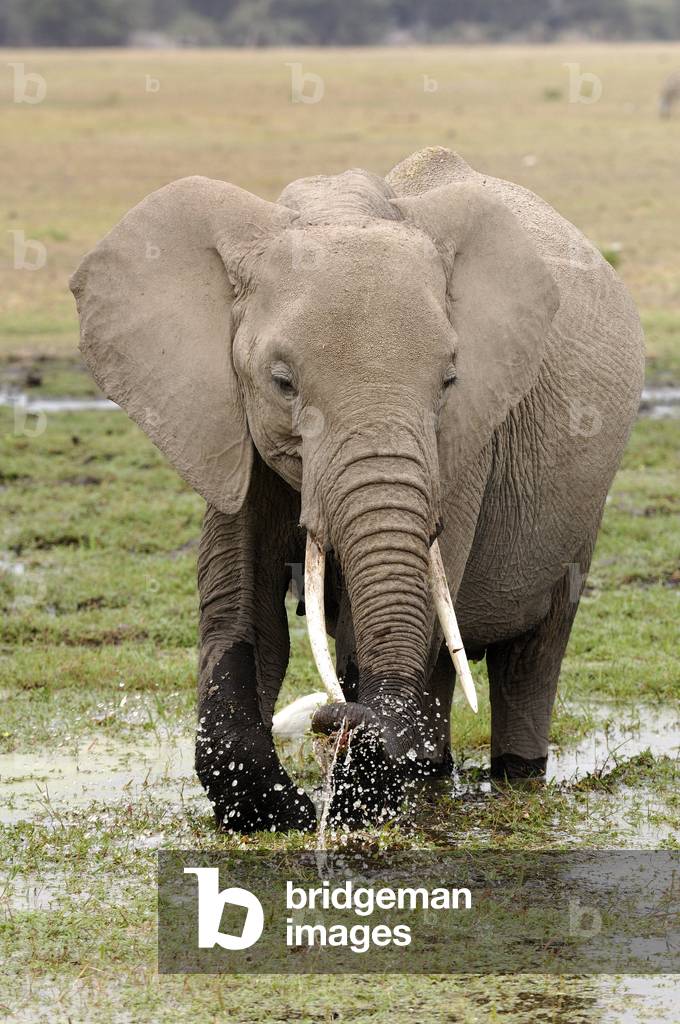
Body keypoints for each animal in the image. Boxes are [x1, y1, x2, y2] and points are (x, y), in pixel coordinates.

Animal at [70, 146, 644, 833]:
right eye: (282, 382)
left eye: (449, 380)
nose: (331, 713)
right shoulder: (226, 422)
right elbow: (240, 599)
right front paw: (282, 812)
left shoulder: (465, 441)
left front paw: (349, 801)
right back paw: (433, 772)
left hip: (585, 508)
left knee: (532, 651)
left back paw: (507, 774)